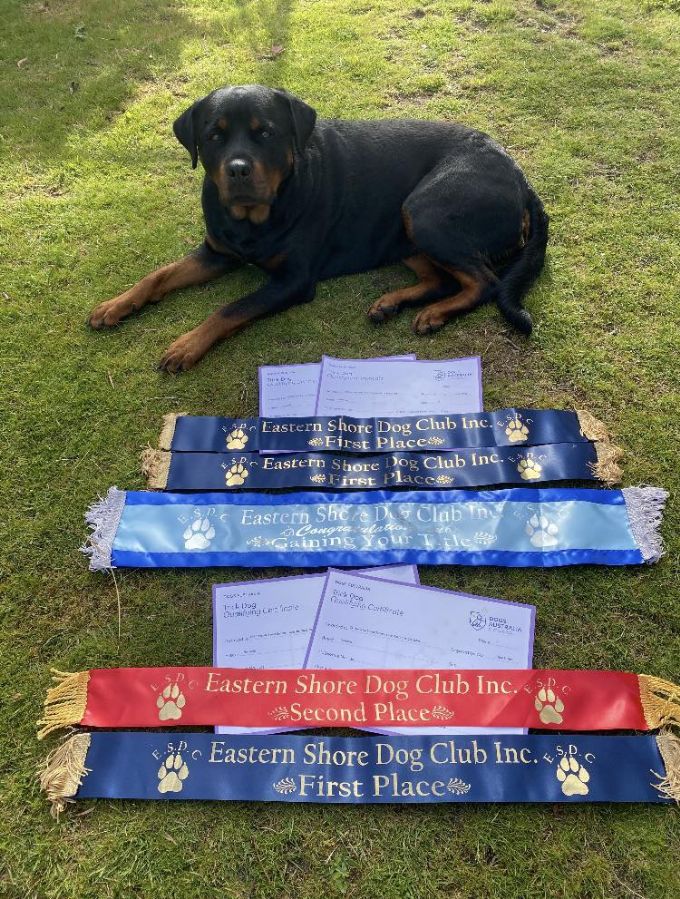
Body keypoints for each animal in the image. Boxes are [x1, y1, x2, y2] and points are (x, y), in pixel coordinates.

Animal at [89, 85, 548, 372]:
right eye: (213, 136)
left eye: (265, 132)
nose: (237, 170)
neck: (255, 217)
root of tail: (520, 176)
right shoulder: (217, 252)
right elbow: (159, 275)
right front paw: (115, 304)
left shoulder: (293, 279)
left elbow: (230, 308)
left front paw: (186, 345)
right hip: (405, 230)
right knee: (442, 278)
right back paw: (392, 304)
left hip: (425, 210)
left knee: (485, 280)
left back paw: (434, 314)